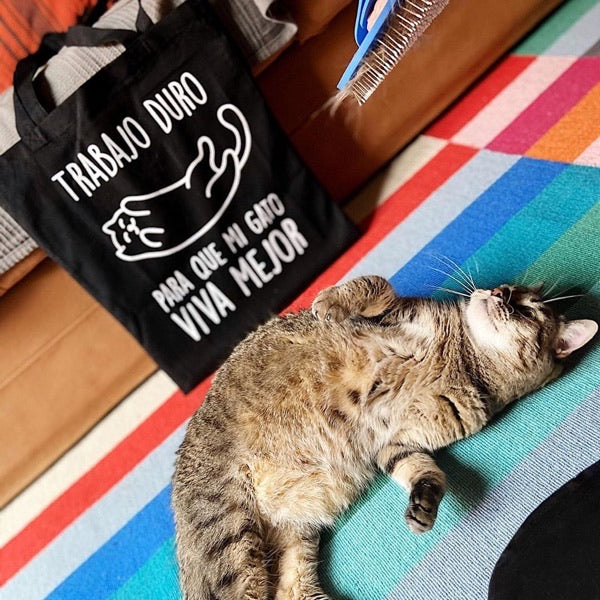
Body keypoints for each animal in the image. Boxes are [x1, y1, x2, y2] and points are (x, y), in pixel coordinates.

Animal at [171, 274, 596, 596]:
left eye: (528, 309)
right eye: (505, 289)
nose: (496, 293)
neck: (463, 360)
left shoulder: (397, 442)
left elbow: (425, 473)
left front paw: (423, 504)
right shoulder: (399, 312)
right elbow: (375, 284)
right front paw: (328, 303)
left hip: (291, 540)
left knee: (291, 591)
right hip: (232, 540)